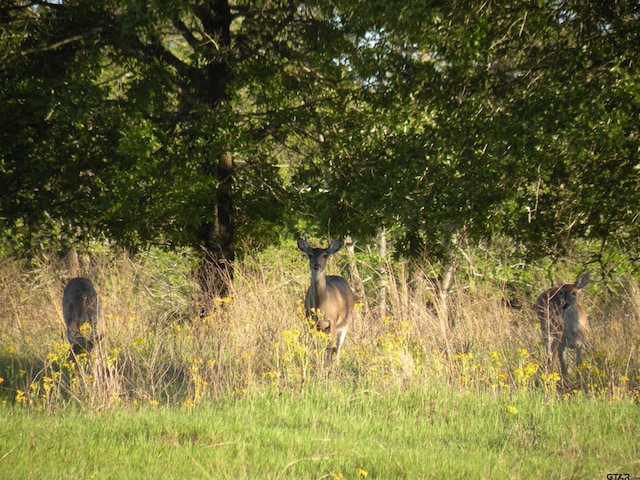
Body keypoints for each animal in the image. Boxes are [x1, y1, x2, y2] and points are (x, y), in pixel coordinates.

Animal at [296, 238, 356, 366]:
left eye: (325, 255)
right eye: (310, 255)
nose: (316, 266)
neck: (322, 306)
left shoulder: (332, 322)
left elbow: (330, 347)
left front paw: (327, 367)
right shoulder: (310, 322)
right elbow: (315, 346)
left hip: (345, 324)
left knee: (337, 347)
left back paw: (336, 364)